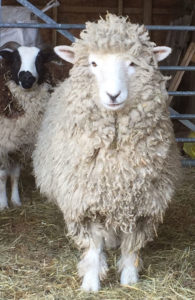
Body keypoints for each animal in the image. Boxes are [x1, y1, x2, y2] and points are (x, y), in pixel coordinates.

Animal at [0, 42, 56, 209]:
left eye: (39, 60)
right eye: (16, 59)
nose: (27, 78)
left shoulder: (19, 144)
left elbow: (15, 175)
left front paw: (16, 200)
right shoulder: (2, 147)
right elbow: (3, 176)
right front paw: (3, 204)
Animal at [32, 15, 181, 292]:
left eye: (132, 63)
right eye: (93, 63)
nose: (113, 95)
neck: (115, 160)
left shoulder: (141, 203)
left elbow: (131, 247)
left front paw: (130, 279)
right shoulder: (84, 202)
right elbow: (92, 249)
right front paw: (91, 284)